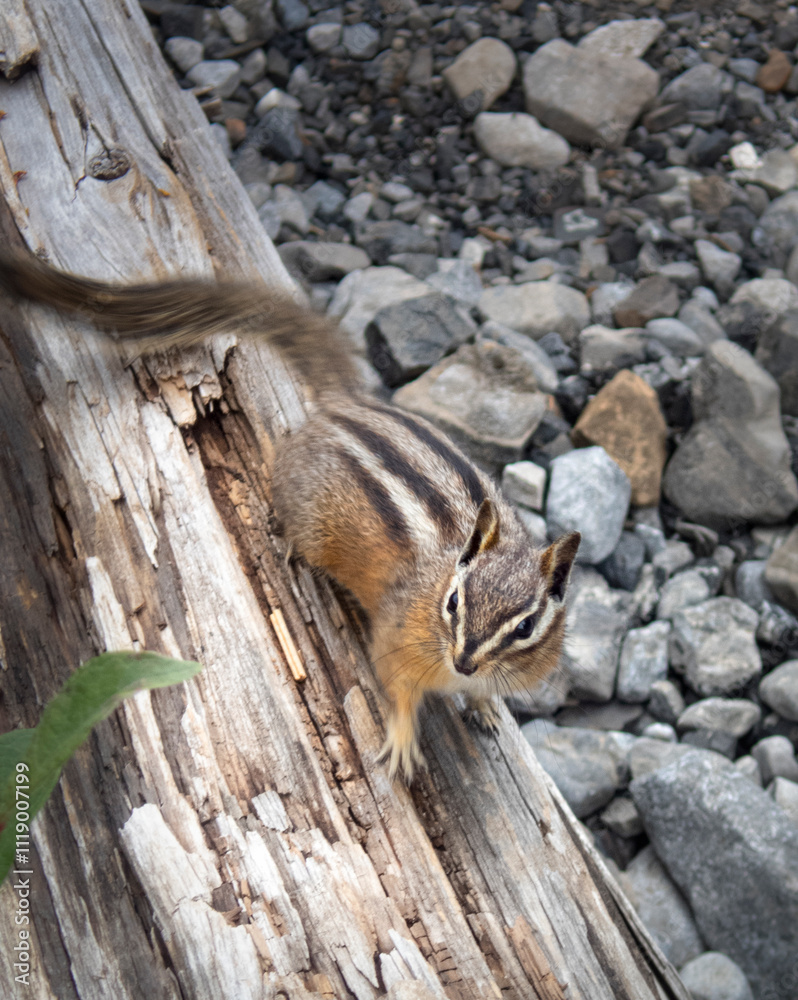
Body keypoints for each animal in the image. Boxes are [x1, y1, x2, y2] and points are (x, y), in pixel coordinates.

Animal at [0, 252, 580, 782]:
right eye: (454, 602)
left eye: (526, 626)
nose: (463, 663)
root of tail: (348, 404)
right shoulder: (395, 641)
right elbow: (397, 693)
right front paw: (402, 741)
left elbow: (486, 693)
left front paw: (484, 706)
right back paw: (288, 545)